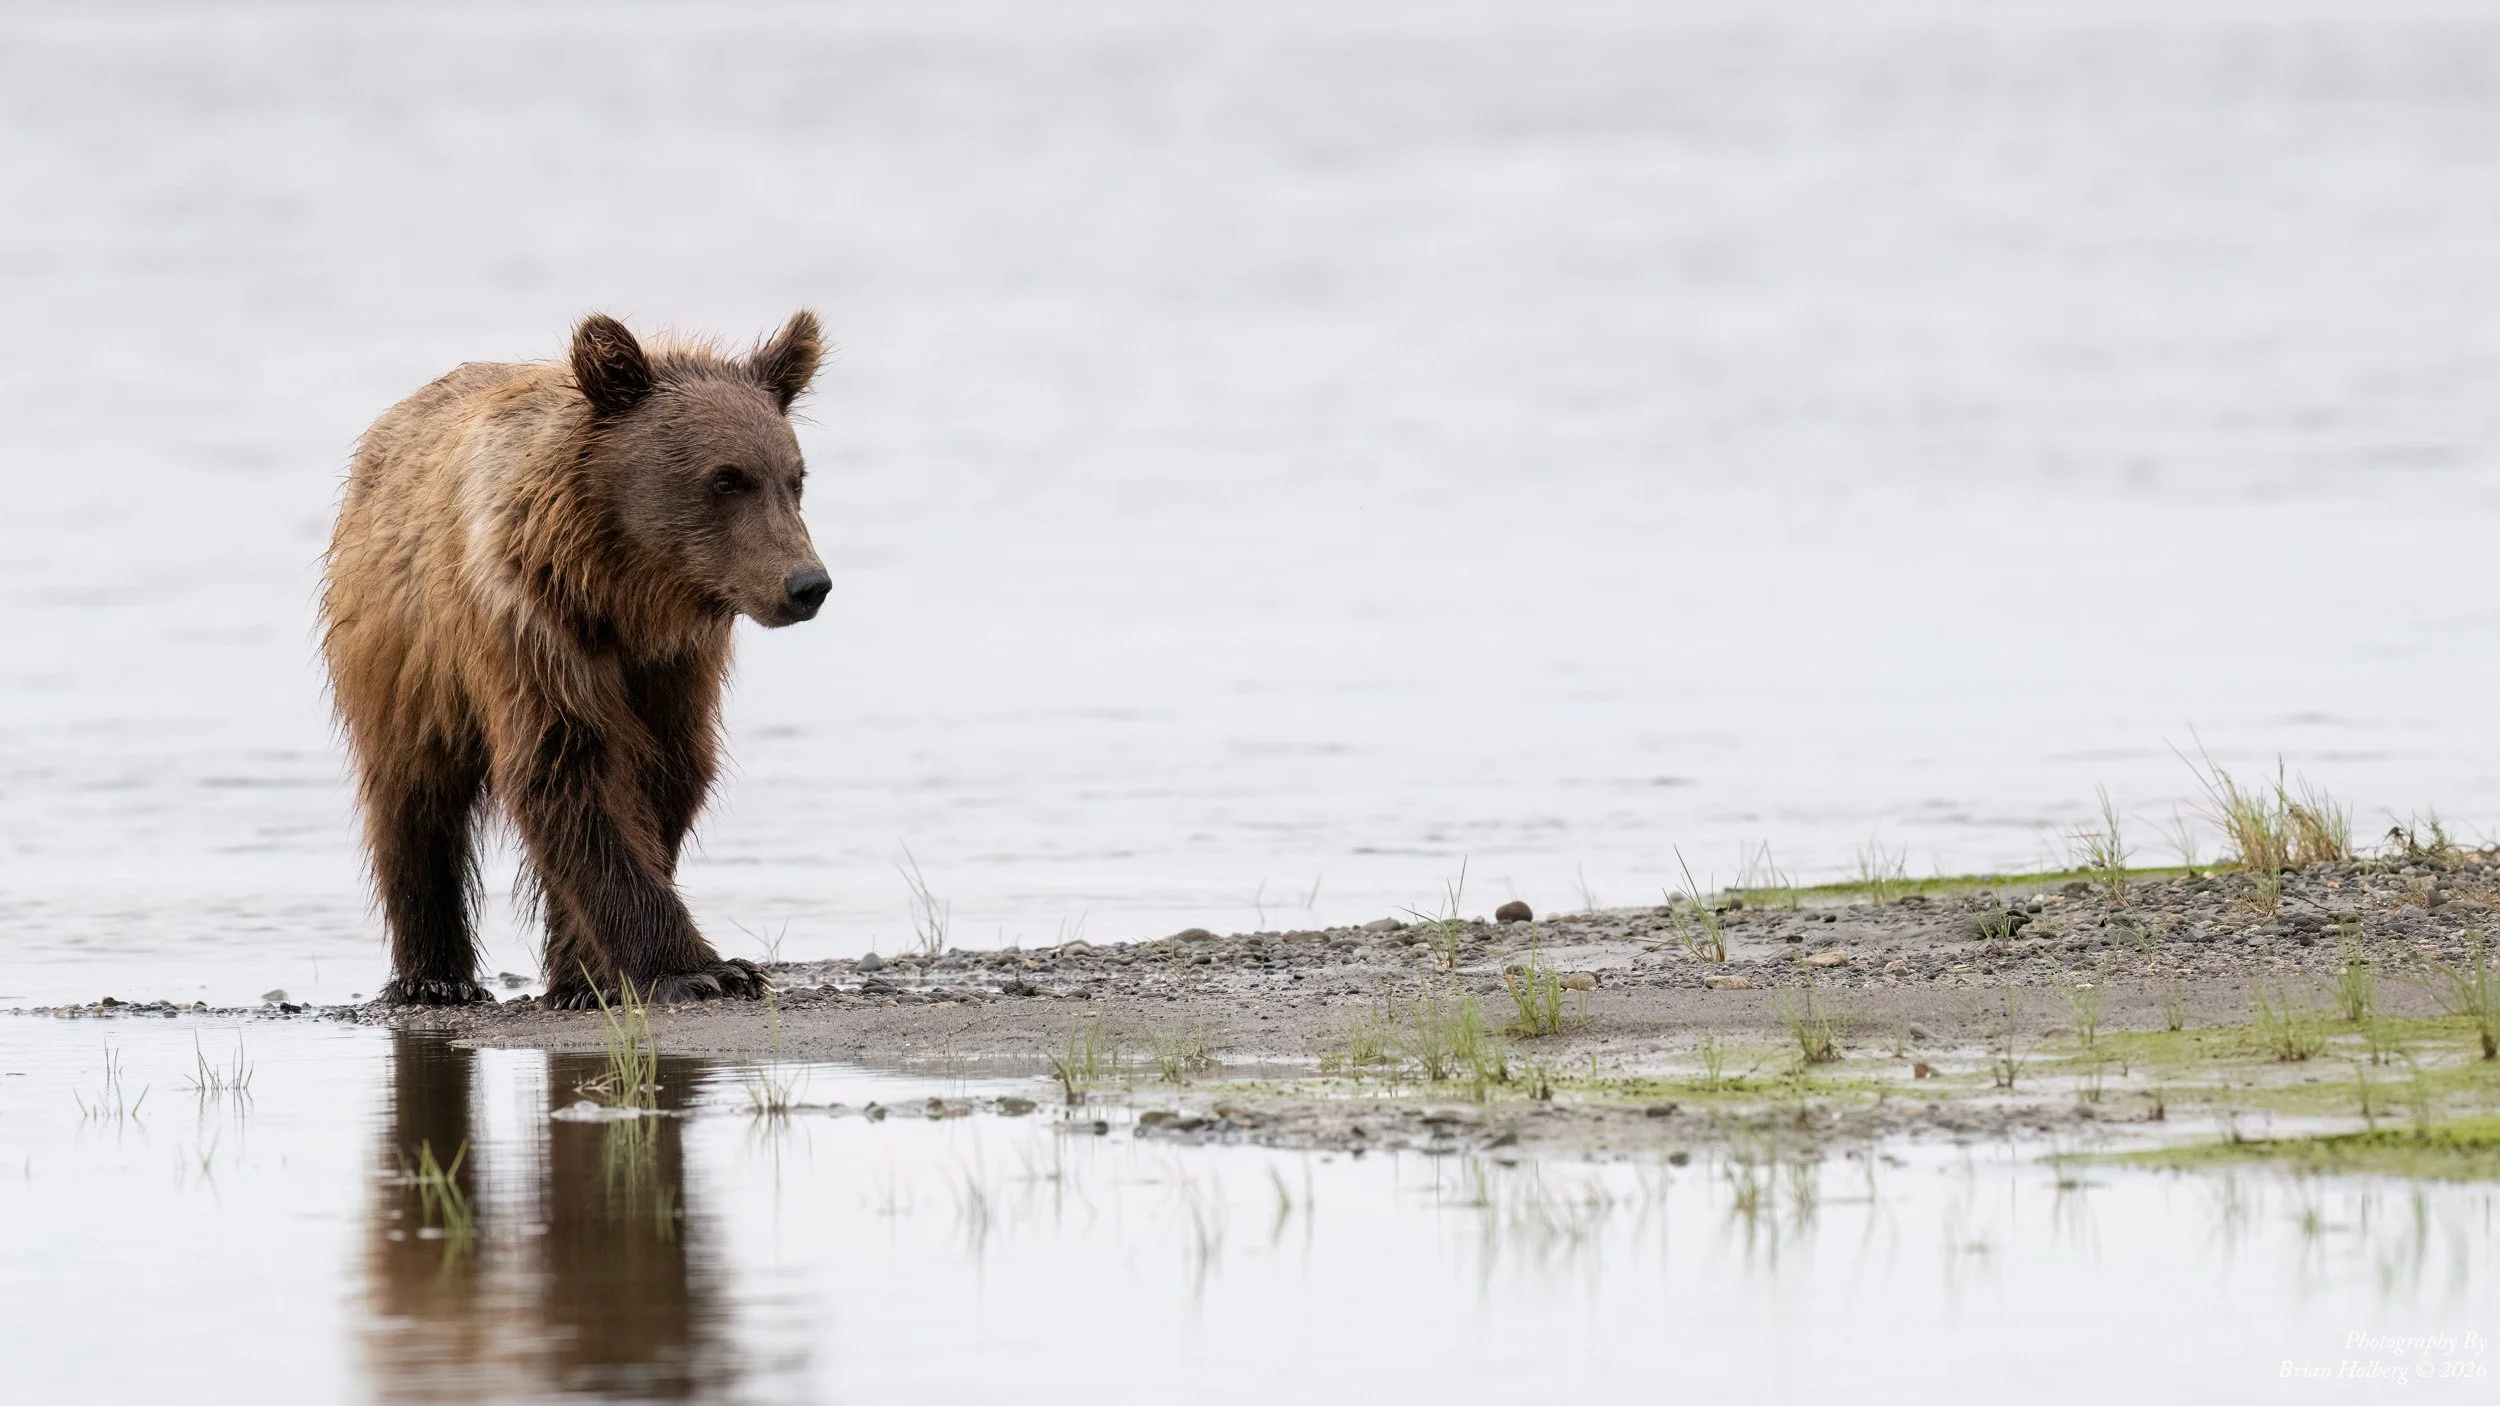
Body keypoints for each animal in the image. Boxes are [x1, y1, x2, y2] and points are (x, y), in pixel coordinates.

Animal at [322, 311, 830, 1008]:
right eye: (726, 478)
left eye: (795, 477)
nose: (807, 584)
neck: (627, 592)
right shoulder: (533, 627)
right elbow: (565, 769)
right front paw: (702, 969)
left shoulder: (675, 667)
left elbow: (667, 772)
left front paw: (593, 972)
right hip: (404, 653)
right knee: (413, 795)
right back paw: (435, 978)